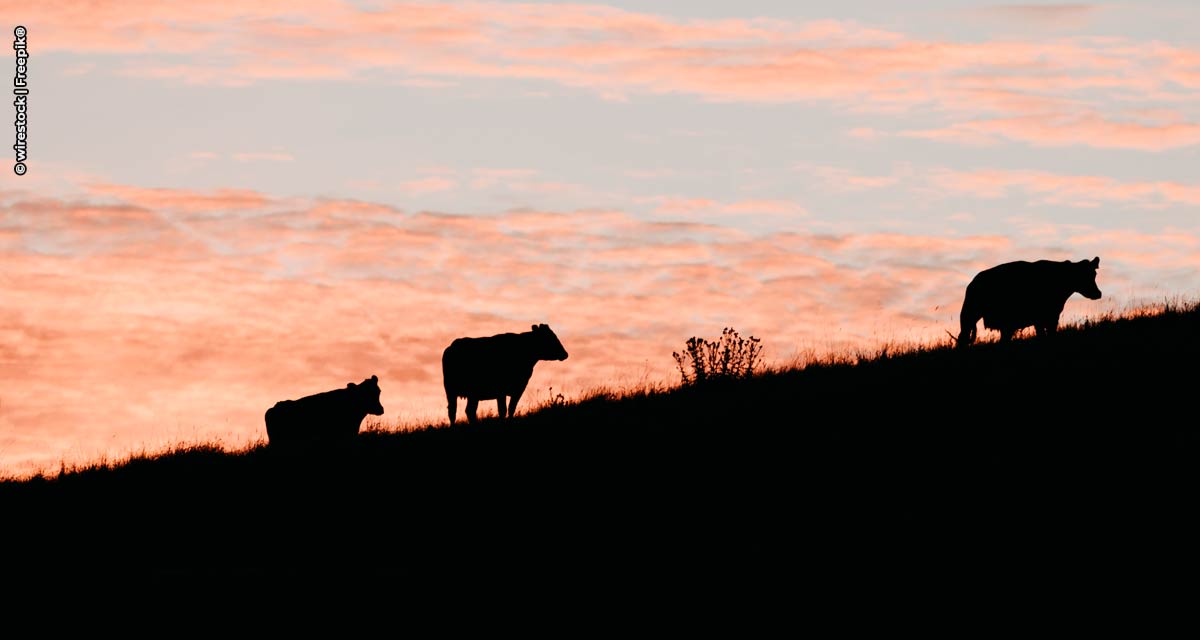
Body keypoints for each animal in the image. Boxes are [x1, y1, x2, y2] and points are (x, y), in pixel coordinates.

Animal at [960, 255, 1099, 348]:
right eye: (1083, 275)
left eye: (1094, 274)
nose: (1098, 293)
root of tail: (972, 282)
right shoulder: (1039, 318)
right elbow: (1041, 336)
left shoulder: (1053, 317)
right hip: (969, 314)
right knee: (963, 337)